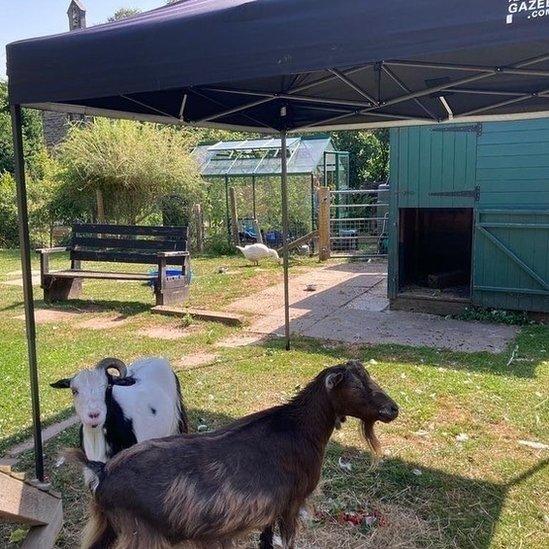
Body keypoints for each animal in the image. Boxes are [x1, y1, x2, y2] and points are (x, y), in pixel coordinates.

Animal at [71, 360, 398, 548]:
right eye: (355, 386)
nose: (392, 409)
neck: (298, 429)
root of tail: (102, 472)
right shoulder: (291, 503)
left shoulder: (271, 508)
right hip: (140, 533)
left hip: (109, 526)